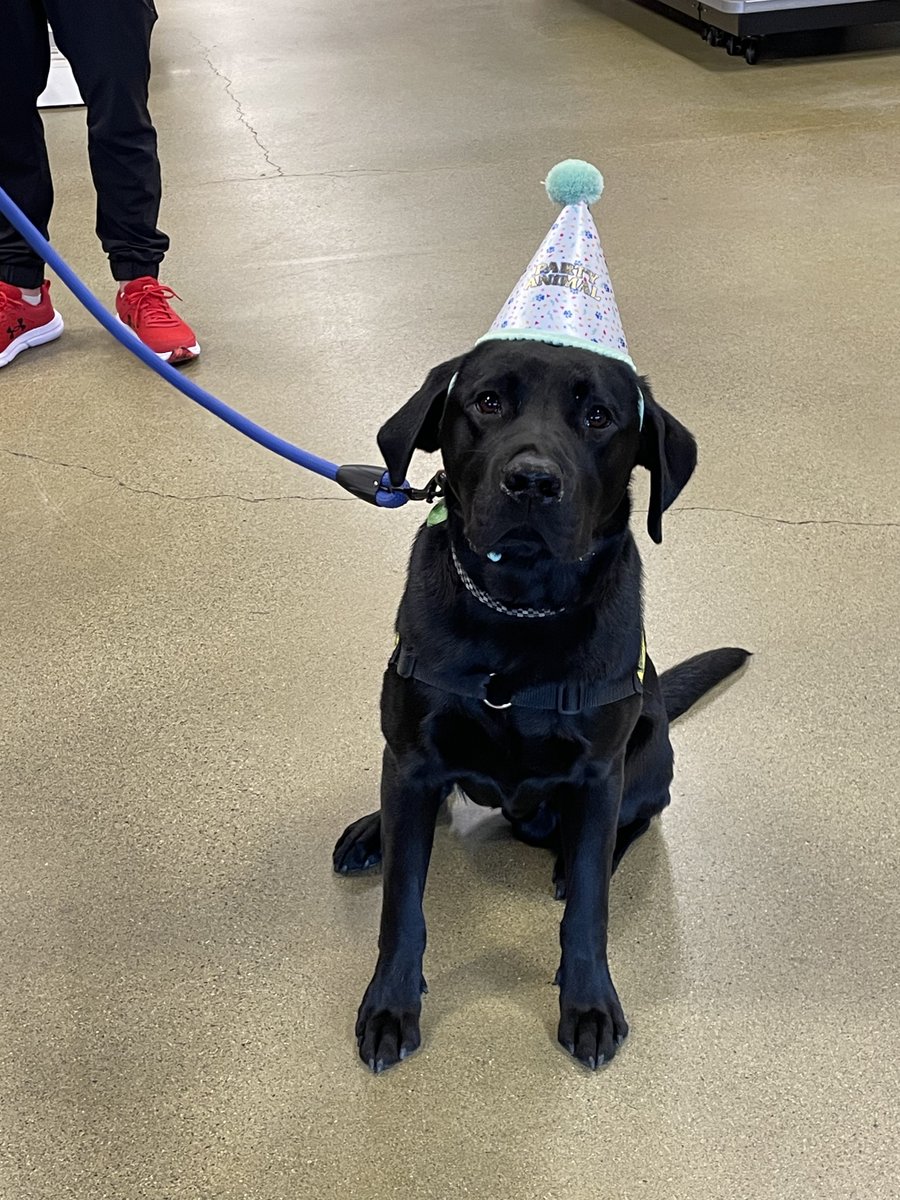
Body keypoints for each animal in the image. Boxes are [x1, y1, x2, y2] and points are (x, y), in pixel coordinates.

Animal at [336, 340, 748, 1080]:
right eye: (487, 401)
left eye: (599, 415)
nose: (531, 481)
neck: (517, 612)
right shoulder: (412, 757)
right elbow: (401, 905)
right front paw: (390, 1005)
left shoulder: (597, 773)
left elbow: (589, 907)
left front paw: (588, 1004)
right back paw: (372, 830)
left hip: (646, 758)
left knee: (629, 825)